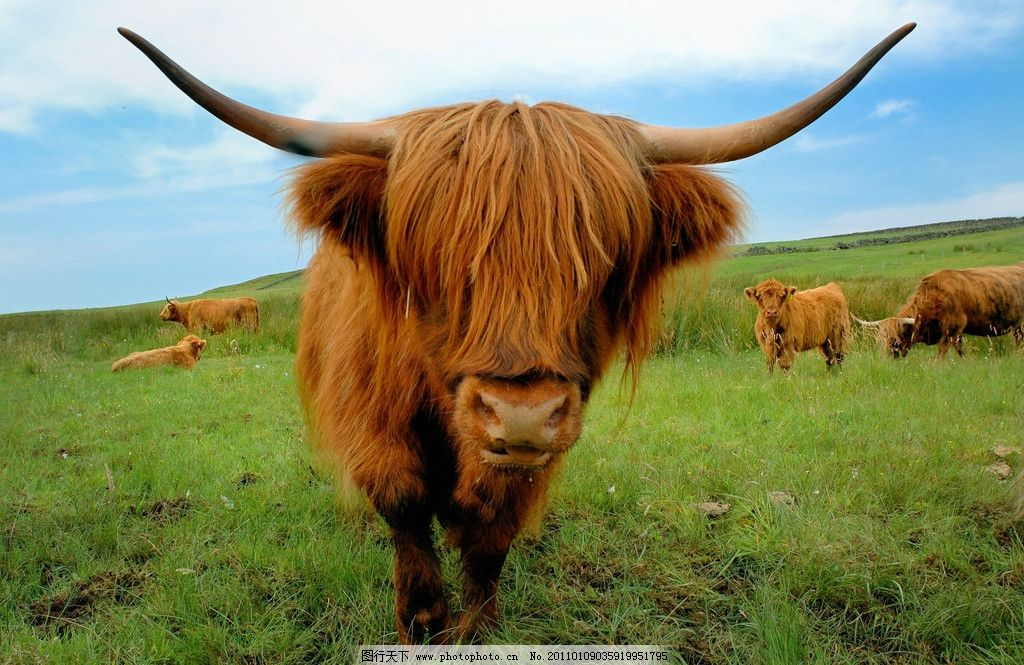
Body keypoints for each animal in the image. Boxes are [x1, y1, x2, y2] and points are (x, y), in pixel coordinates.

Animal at [119, 25, 913, 643]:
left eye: (602, 262)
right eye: (437, 260)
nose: (522, 416)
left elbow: (490, 529)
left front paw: (478, 624)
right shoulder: (373, 420)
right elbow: (403, 506)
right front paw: (422, 621)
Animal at [851, 262, 1024, 358]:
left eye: (895, 341)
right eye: (878, 341)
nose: (884, 361)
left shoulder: (952, 328)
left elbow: (943, 351)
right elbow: (959, 349)